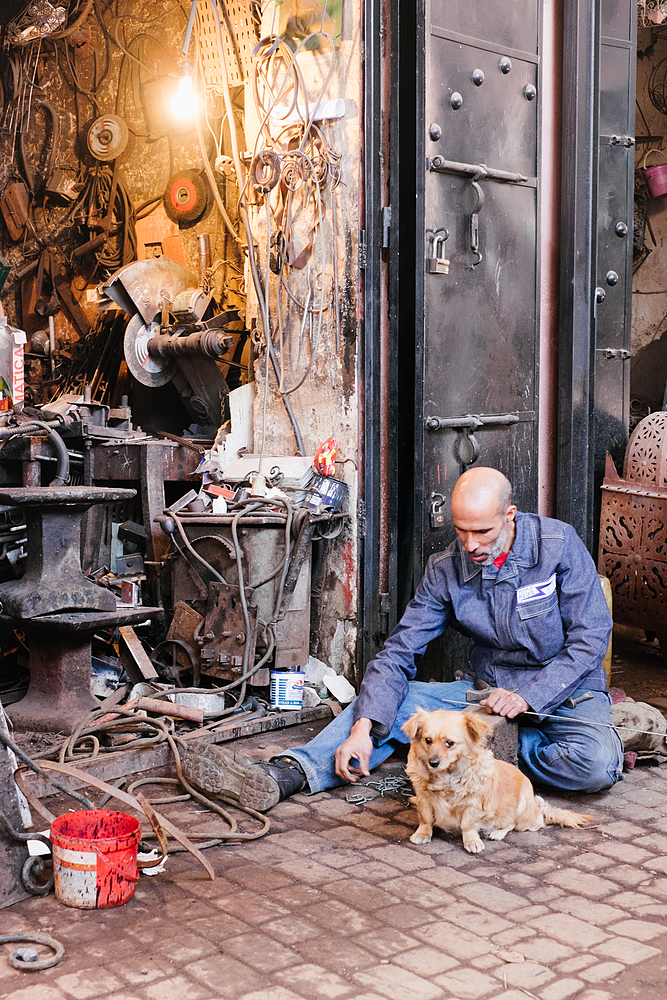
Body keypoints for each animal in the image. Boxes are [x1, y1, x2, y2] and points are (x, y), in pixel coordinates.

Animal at [404, 708, 592, 856]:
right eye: (428, 740)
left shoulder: (472, 804)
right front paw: (423, 834)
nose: (433, 762)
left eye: (449, 743)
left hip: (520, 807)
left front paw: (471, 841)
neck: (447, 776)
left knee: (512, 824)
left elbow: (467, 825)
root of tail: (537, 807)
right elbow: (426, 819)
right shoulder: (423, 799)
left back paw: (497, 833)